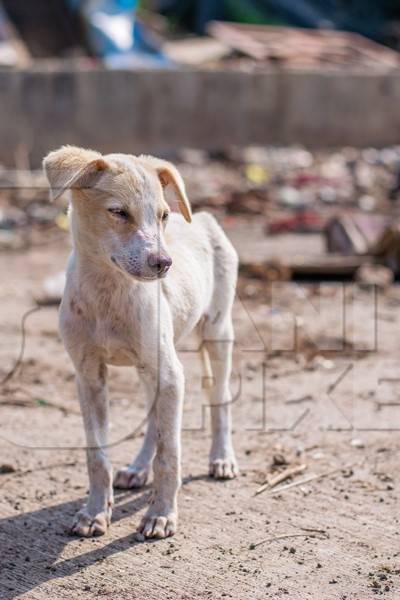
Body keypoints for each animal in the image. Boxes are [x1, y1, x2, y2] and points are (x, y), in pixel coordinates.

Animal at [43, 145, 238, 540]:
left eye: (163, 215)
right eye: (119, 212)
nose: (164, 263)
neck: (108, 291)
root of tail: (204, 217)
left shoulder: (171, 373)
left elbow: (170, 453)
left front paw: (161, 515)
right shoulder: (88, 375)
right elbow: (97, 455)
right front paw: (94, 512)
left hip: (217, 332)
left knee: (219, 395)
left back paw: (222, 457)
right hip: (149, 368)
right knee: (152, 414)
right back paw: (138, 468)